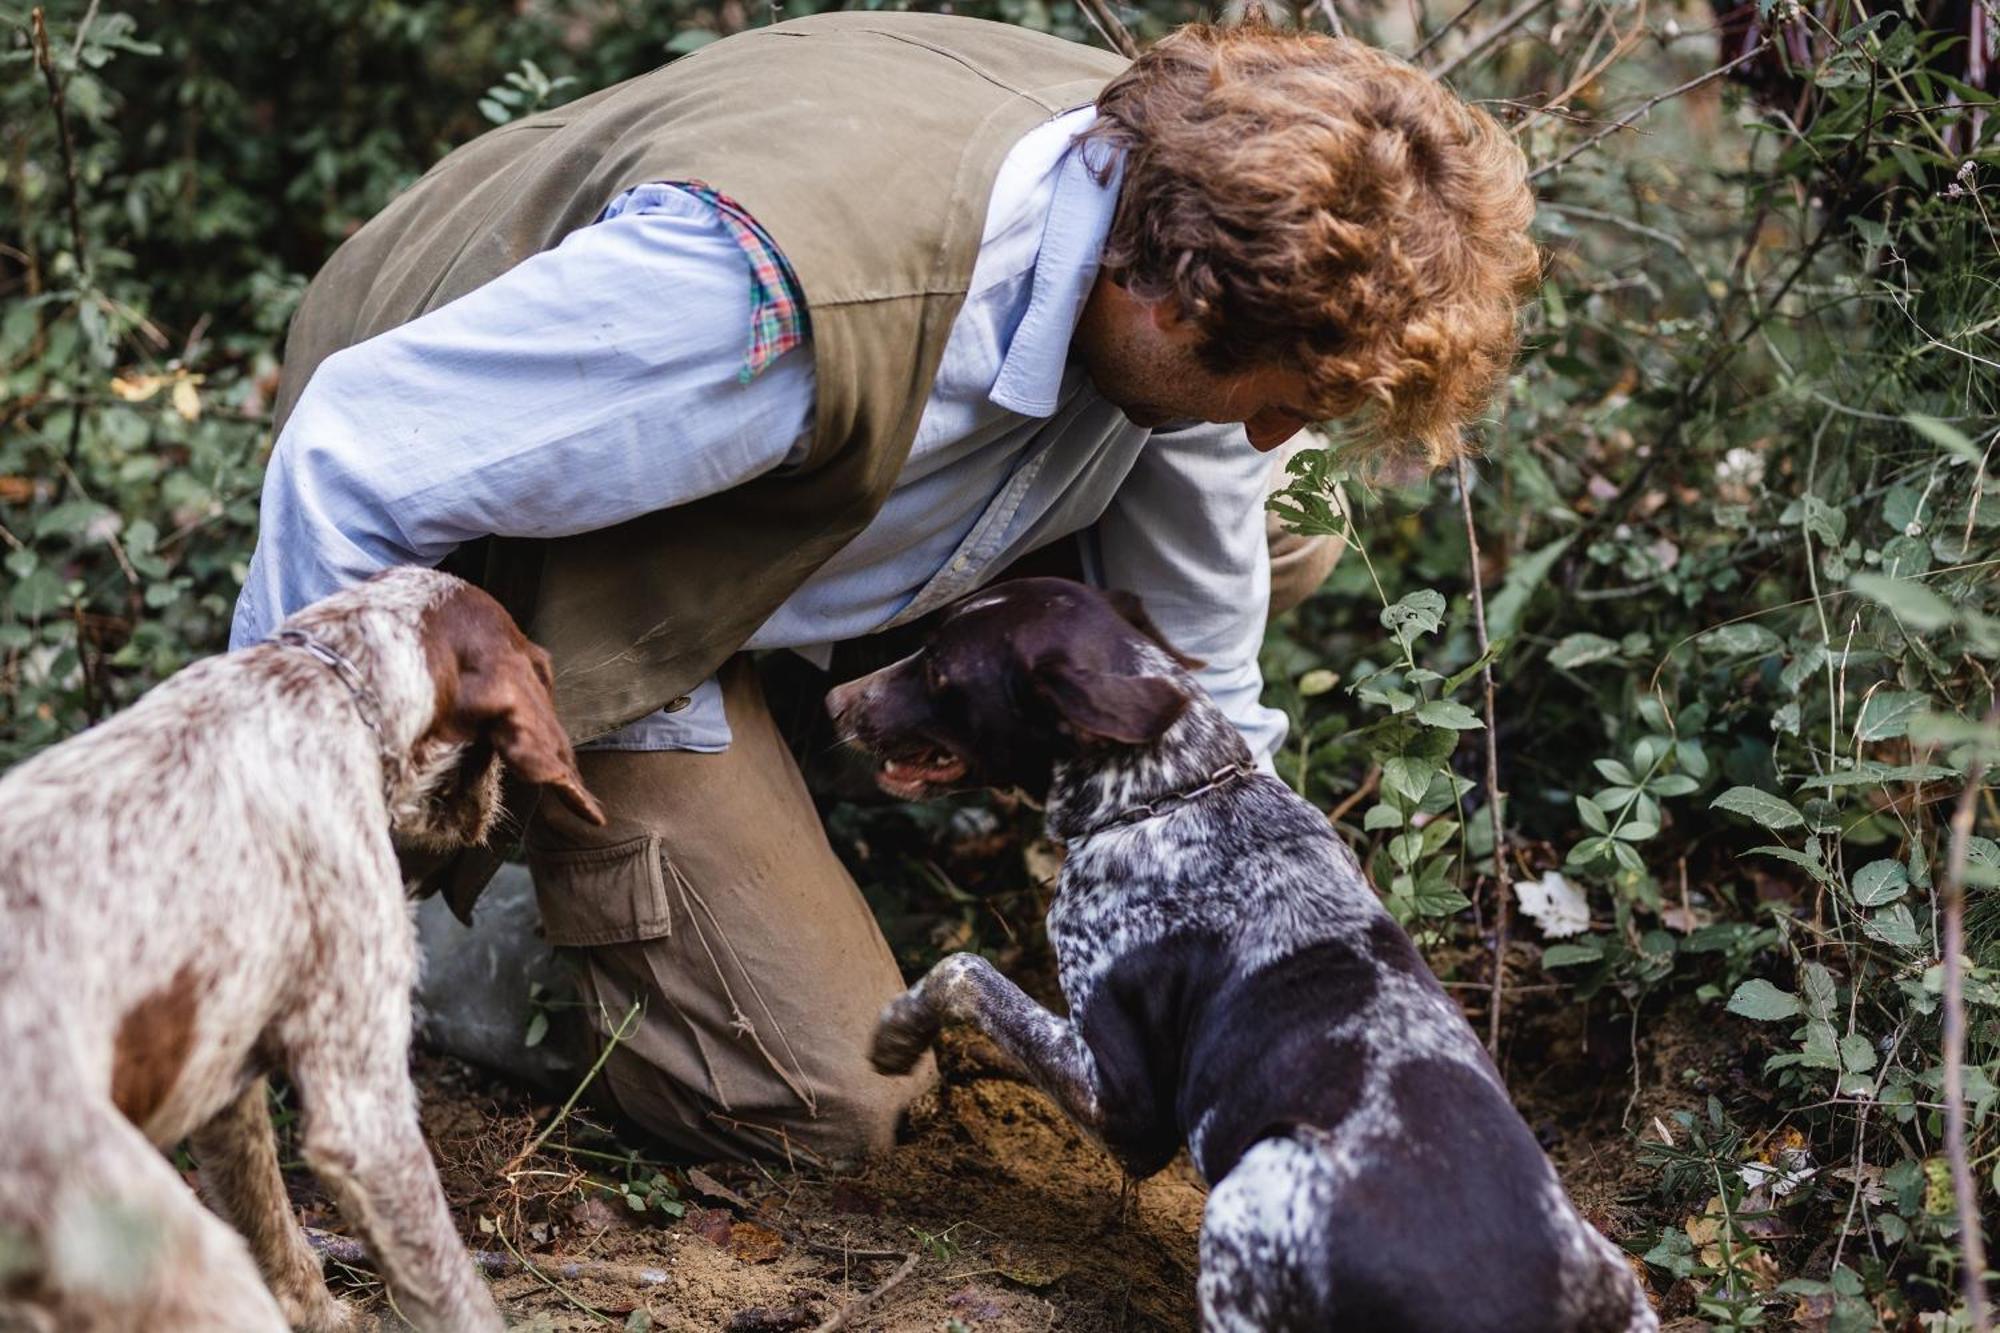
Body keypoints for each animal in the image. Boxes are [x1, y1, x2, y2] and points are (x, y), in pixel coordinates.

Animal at [0, 564, 600, 1328]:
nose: (492, 811)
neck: (328, 677)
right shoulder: (364, 1119)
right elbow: (455, 1292)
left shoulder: (225, 1083)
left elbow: (276, 1229)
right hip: (173, 1260)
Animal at [828, 580, 1656, 1328]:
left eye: (940, 673)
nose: (835, 697)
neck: (1178, 790)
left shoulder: (1123, 1102)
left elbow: (965, 971)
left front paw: (898, 1033)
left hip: (1244, 1200)